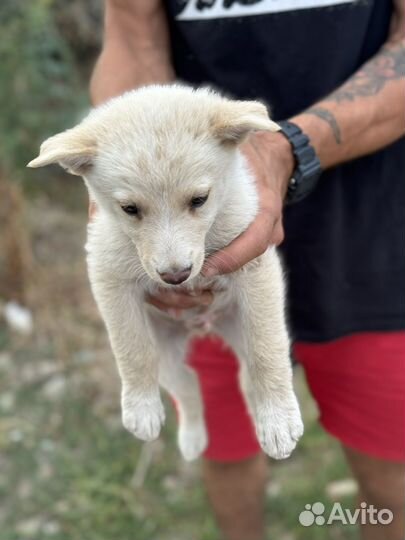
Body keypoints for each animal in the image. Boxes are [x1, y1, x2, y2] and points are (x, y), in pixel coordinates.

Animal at [29, 84, 304, 460]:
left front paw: (278, 421)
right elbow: (132, 348)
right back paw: (192, 438)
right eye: (129, 208)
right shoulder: (108, 275)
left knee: (246, 374)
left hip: (236, 324)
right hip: (166, 347)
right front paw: (141, 408)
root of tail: (202, 327)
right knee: (186, 383)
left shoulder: (255, 268)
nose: (175, 276)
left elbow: (267, 349)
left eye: (200, 199)